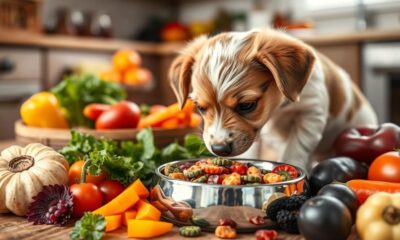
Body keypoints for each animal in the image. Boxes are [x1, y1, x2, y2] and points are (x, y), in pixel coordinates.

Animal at [169, 28, 378, 171]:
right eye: (200, 107)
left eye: (247, 105)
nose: (219, 148)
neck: (278, 110)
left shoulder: (311, 114)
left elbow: (295, 148)